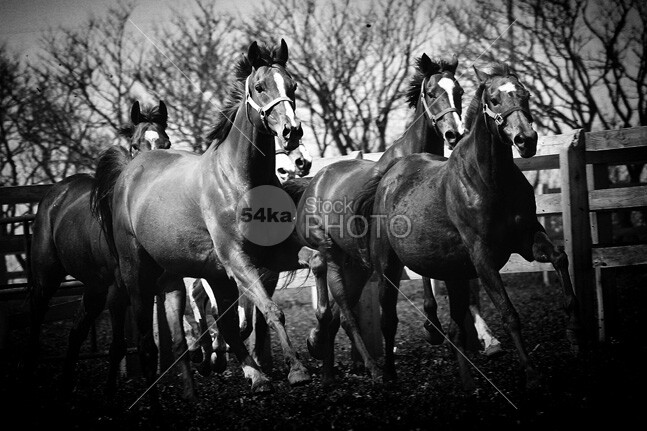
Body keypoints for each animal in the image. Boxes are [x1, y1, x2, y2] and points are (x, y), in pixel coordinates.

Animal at [27, 100, 171, 394]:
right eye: (135, 145)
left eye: (167, 143)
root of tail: (57, 192)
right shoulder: (118, 291)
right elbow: (117, 347)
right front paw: (109, 394)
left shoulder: (143, 288)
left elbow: (131, 347)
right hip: (47, 278)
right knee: (36, 317)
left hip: (94, 286)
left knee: (77, 330)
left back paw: (65, 385)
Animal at [93, 38, 312, 404]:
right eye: (260, 86)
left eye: (293, 86)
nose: (291, 131)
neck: (239, 180)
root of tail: (128, 172)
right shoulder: (237, 260)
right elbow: (270, 310)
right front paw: (298, 371)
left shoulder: (272, 256)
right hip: (137, 274)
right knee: (145, 335)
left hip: (201, 275)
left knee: (224, 326)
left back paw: (253, 376)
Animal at [294, 54, 466, 384]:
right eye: (431, 93)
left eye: (460, 92)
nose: (454, 133)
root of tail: (315, 181)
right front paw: (431, 326)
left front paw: (433, 325)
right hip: (332, 252)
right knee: (340, 304)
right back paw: (367, 365)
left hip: (357, 265)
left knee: (336, 314)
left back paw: (325, 363)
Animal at [360, 62, 584, 390]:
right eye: (493, 99)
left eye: (525, 95)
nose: (526, 139)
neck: (490, 179)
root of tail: (388, 177)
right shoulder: (483, 258)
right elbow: (508, 313)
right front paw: (531, 374)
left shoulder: (527, 238)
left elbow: (560, 257)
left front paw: (574, 330)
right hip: (388, 266)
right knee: (388, 319)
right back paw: (387, 373)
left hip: (453, 272)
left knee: (456, 329)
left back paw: (469, 384)